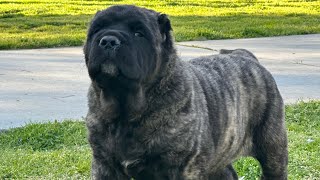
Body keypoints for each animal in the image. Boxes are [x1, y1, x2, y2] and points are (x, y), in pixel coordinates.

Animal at [83, 4, 288, 179]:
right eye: (95, 30)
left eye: (138, 33)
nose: (108, 40)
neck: (125, 112)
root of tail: (245, 55)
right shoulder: (104, 165)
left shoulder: (182, 168)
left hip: (272, 148)